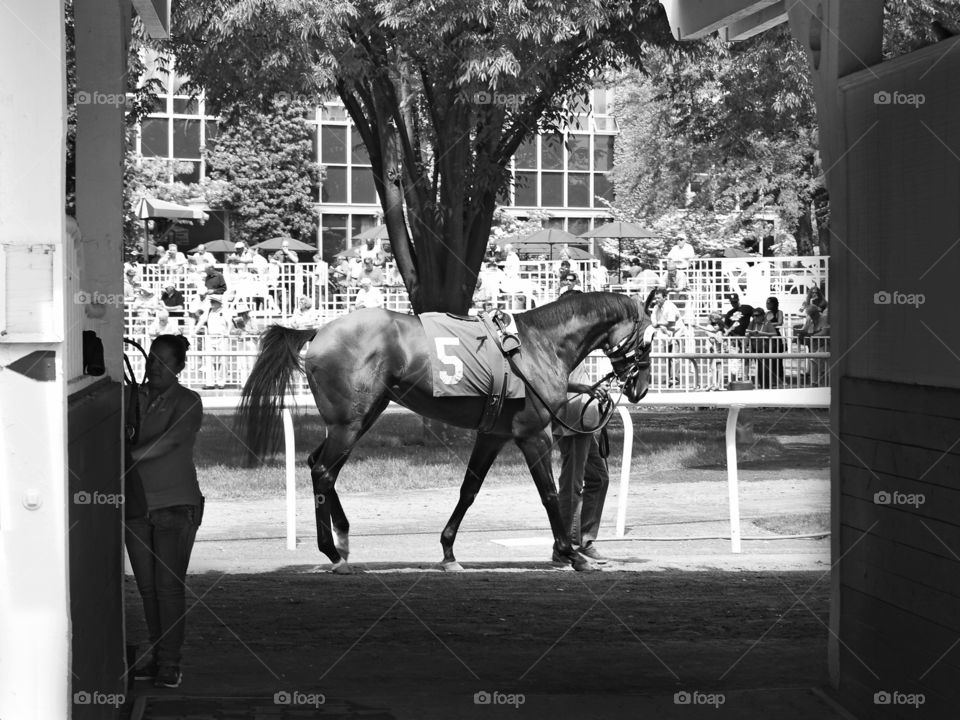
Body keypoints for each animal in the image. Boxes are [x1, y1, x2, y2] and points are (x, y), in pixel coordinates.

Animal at [235, 292, 652, 572]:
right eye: (649, 339)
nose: (641, 387)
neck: (537, 346)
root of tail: (320, 330)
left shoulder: (492, 435)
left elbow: (469, 490)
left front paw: (449, 552)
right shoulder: (533, 435)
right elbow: (549, 495)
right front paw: (571, 553)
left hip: (362, 416)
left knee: (317, 465)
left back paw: (344, 539)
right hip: (349, 423)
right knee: (323, 472)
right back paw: (334, 553)